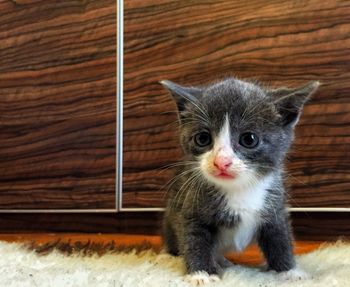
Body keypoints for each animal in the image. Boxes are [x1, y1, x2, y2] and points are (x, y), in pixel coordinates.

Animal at [160, 77, 318, 286]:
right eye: (202, 138)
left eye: (249, 139)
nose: (221, 162)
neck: (238, 188)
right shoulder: (191, 203)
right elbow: (193, 238)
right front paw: (201, 273)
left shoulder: (275, 204)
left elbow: (280, 237)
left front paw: (289, 271)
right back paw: (167, 255)